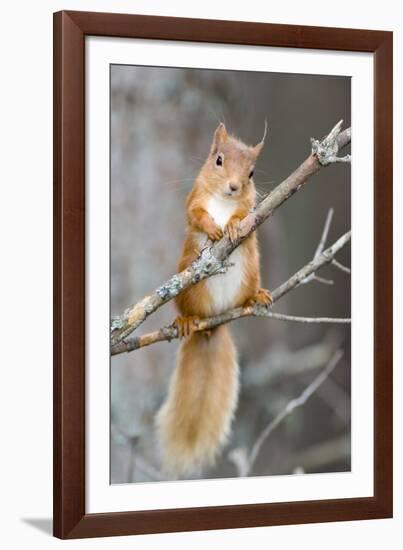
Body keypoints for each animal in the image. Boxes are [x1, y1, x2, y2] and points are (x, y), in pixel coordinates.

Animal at [156, 123, 274, 476]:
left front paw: (233, 225)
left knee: (247, 295)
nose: (234, 187)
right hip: (187, 287)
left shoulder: (252, 210)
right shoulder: (193, 198)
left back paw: (256, 298)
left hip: (251, 272)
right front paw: (213, 227)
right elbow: (195, 214)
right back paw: (185, 321)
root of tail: (214, 323)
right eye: (218, 160)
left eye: (251, 172)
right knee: (186, 309)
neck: (222, 201)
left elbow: (245, 217)